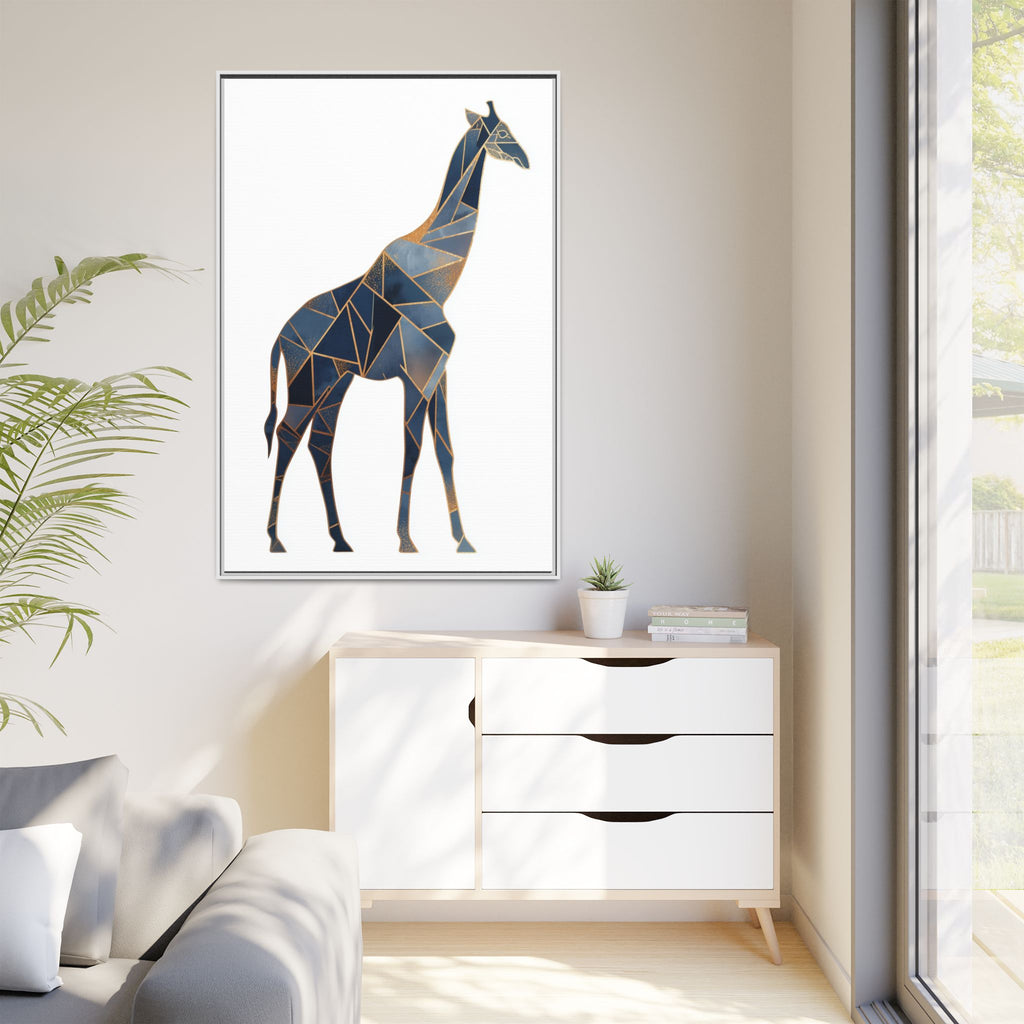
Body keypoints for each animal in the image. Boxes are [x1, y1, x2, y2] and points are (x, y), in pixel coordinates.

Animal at [264, 101, 530, 554]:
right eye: (502, 131)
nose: (525, 159)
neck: (439, 278)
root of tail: (280, 338)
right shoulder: (417, 376)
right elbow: (413, 450)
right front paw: (406, 540)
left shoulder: (438, 374)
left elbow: (445, 450)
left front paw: (462, 541)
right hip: (308, 383)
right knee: (287, 436)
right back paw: (276, 540)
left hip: (335, 384)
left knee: (319, 443)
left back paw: (340, 540)